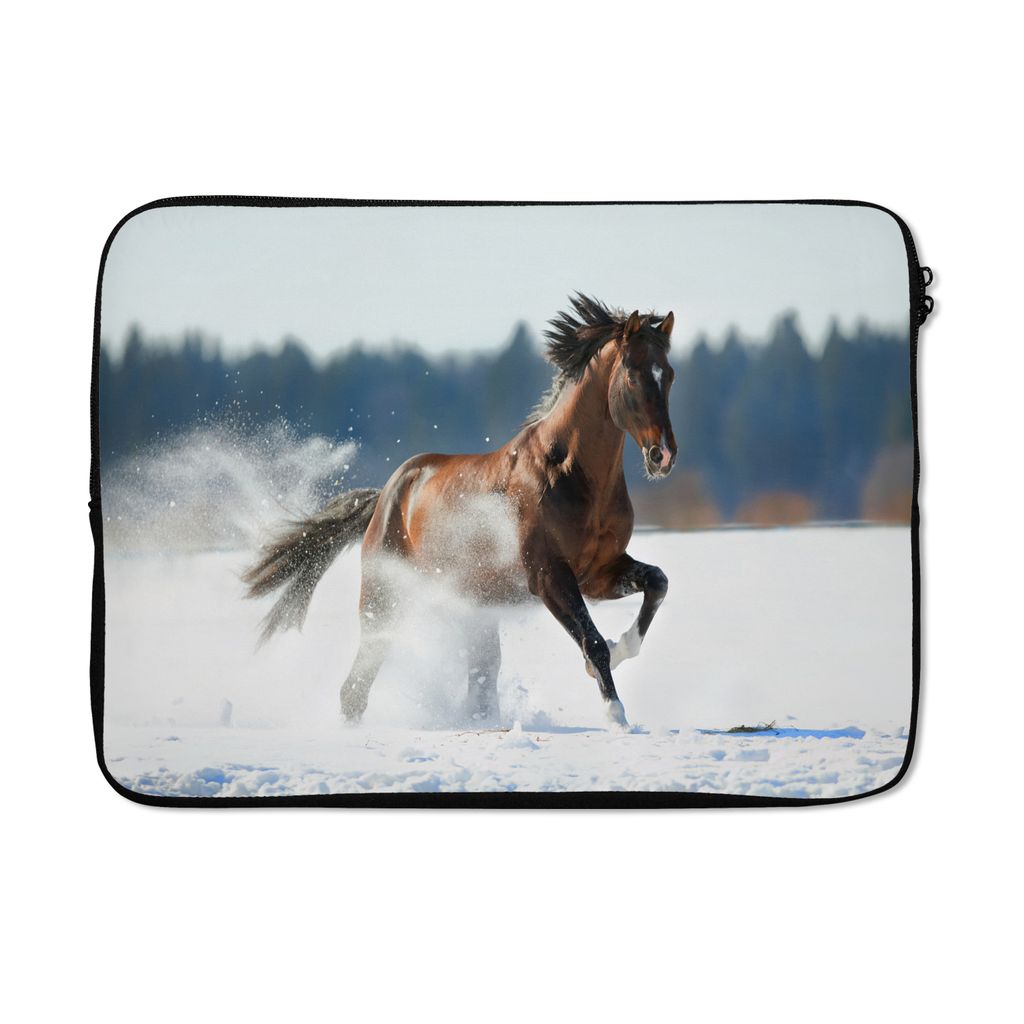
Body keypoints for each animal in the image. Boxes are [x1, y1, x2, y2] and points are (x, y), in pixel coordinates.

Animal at [242, 294, 678, 727]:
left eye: (669, 374)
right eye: (633, 376)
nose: (663, 456)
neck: (569, 474)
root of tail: (386, 496)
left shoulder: (599, 572)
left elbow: (657, 582)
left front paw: (621, 651)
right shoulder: (549, 577)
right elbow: (592, 640)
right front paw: (616, 713)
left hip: (473, 609)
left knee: (478, 680)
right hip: (384, 600)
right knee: (356, 686)